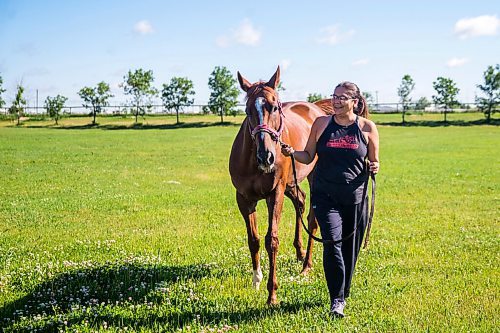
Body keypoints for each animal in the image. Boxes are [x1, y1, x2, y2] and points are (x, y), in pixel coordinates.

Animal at [229, 65, 328, 304]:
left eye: (274, 107)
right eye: (247, 110)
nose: (266, 157)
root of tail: (316, 108)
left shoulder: (275, 193)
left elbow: (271, 240)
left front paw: (272, 293)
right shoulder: (244, 199)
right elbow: (253, 239)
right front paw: (256, 279)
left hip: (309, 178)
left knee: (312, 220)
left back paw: (306, 265)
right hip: (291, 183)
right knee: (301, 201)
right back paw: (299, 253)